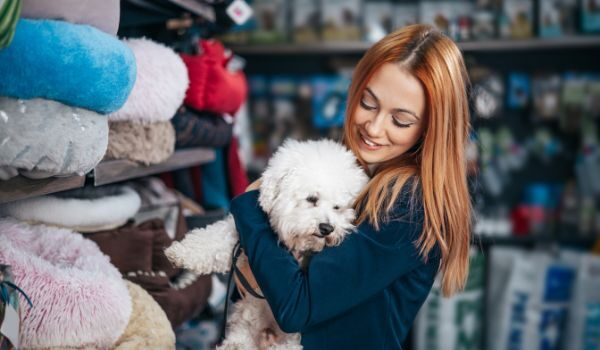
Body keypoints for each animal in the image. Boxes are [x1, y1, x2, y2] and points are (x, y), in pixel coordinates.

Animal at [166, 139, 368, 350]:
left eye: (337, 207)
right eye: (312, 198)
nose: (327, 228)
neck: (293, 244)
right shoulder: (238, 238)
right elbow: (213, 240)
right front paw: (178, 252)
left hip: (290, 337)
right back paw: (235, 345)